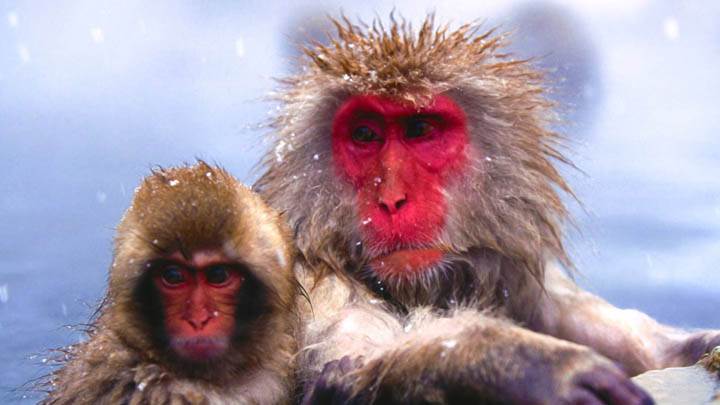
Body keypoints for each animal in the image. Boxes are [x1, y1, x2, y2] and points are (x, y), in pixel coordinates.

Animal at [254, 15, 720, 404]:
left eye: (420, 129)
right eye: (366, 134)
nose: (390, 199)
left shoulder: (529, 286)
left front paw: (700, 345)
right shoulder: (322, 287)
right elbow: (343, 373)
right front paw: (520, 366)